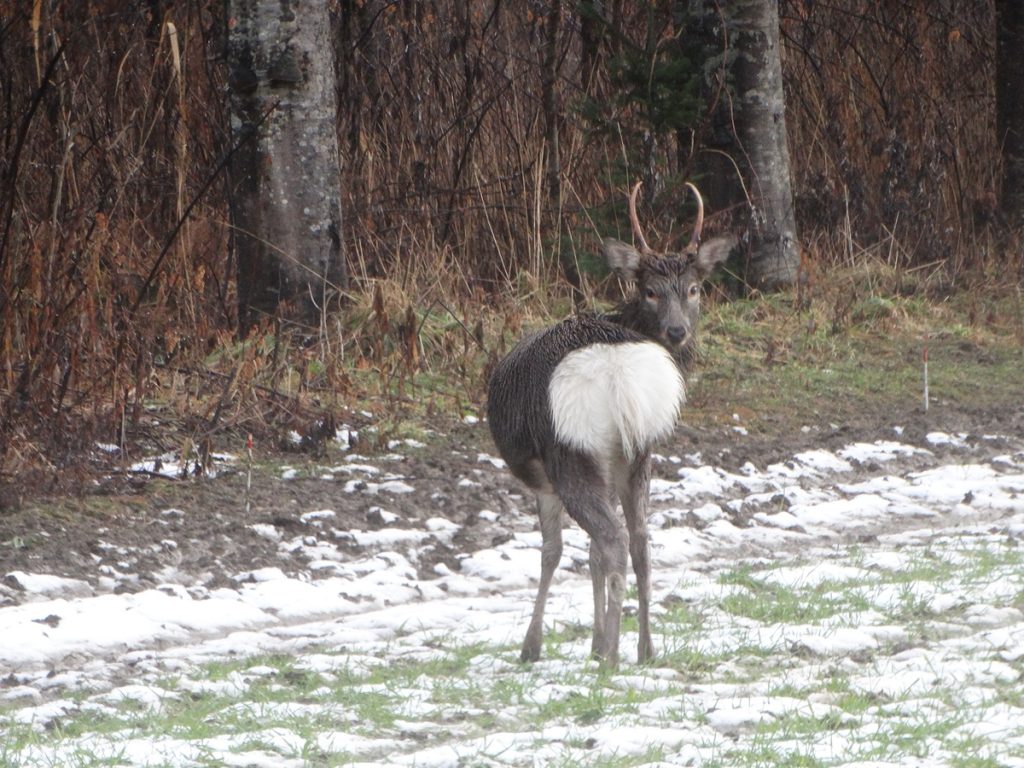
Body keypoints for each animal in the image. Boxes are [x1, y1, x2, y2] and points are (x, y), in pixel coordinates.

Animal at [487, 183, 737, 671]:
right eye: (650, 290)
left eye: (694, 288)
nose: (677, 332)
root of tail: (618, 376)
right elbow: (591, 554)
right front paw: (595, 638)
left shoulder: (544, 479)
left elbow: (553, 552)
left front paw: (535, 646)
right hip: (634, 454)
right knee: (639, 541)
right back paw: (643, 648)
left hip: (572, 448)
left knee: (613, 540)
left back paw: (611, 655)